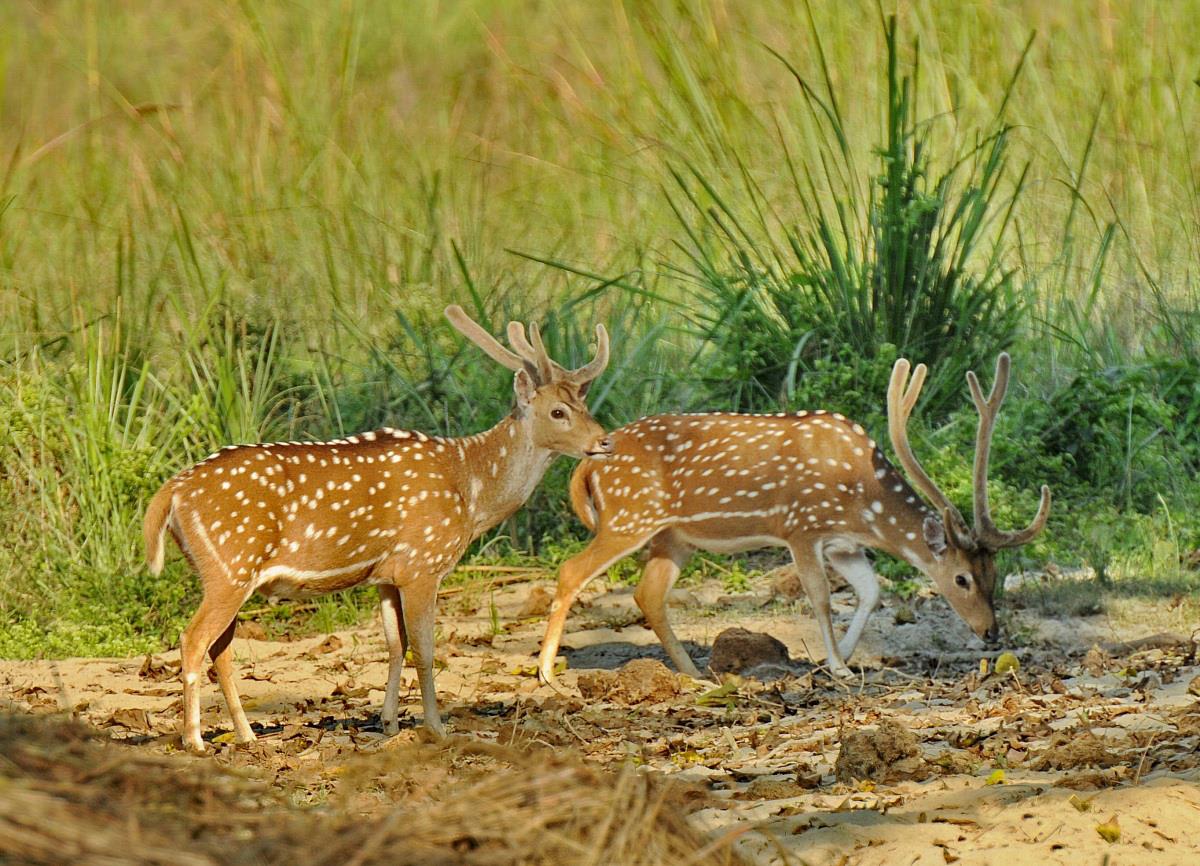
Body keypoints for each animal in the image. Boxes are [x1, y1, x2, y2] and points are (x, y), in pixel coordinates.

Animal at [146, 305, 614, 748]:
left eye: (584, 404)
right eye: (558, 411)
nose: (605, 441)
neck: (471, 490)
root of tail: (171, 491)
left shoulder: (388, 575)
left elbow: (395, 644)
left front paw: (389, 723)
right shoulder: (423, 563)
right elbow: (425, 649)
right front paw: (436, 728)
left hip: (226, 573)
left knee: (220, 648)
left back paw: (244, 735)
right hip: (230, 565)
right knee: (193, 640)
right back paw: (194, 740)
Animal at [537, 350, 1051, 681]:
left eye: (994, 574)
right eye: (962, 578)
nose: (991, 632)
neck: (862, 500)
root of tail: (586, 463)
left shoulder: (845, 544)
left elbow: (871, 592)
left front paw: (842, 657)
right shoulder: (801, 526)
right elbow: (821, 597)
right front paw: (839, 665)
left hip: (673, 537)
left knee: (648, 594)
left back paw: (694, 673)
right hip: (629, 517)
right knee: (571, 571)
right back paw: (545, 672)